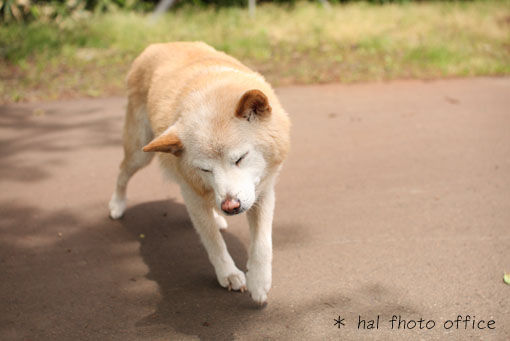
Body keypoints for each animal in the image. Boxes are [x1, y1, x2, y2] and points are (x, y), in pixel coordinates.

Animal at [107, 42, 290, 302]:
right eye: (205, 169)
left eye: (240, 158)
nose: (230, 206)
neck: (210, 95)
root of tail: (158, 44)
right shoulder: (193, 195)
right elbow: (213, 242)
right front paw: (229, 274)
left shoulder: (262, 191)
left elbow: (262, 243)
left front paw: (259, 281)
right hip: (140, 153)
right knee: (122, 172)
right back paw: (117, 204)